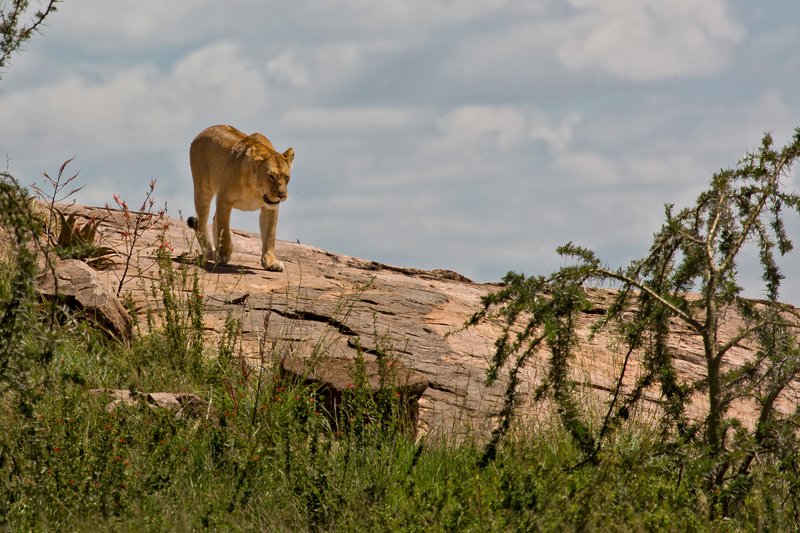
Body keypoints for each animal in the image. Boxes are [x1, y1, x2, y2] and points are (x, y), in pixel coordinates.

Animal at [187, 124, 295, 272]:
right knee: (201, 223)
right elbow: (224, 229)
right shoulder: (223, 198)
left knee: (213, 219)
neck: (255, 189)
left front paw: (271, 262)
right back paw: (209, 252)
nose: (281, 195)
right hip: (202, 189)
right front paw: (222, 255)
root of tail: (204, 131)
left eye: (286, 177)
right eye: (270, 176)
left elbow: (270, 234)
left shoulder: (270, 207)